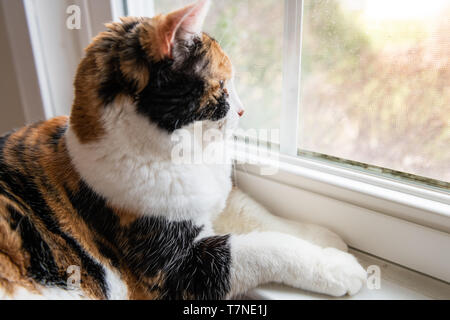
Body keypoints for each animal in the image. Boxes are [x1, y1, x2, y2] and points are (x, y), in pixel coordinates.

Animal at [0, 0, 366, 300]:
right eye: (223, 85)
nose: (243, 110)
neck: (185, 159)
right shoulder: (173, 271)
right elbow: (266, 247)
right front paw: (337, 267)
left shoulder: (218, 198)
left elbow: (260, 214)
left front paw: (323, 236)